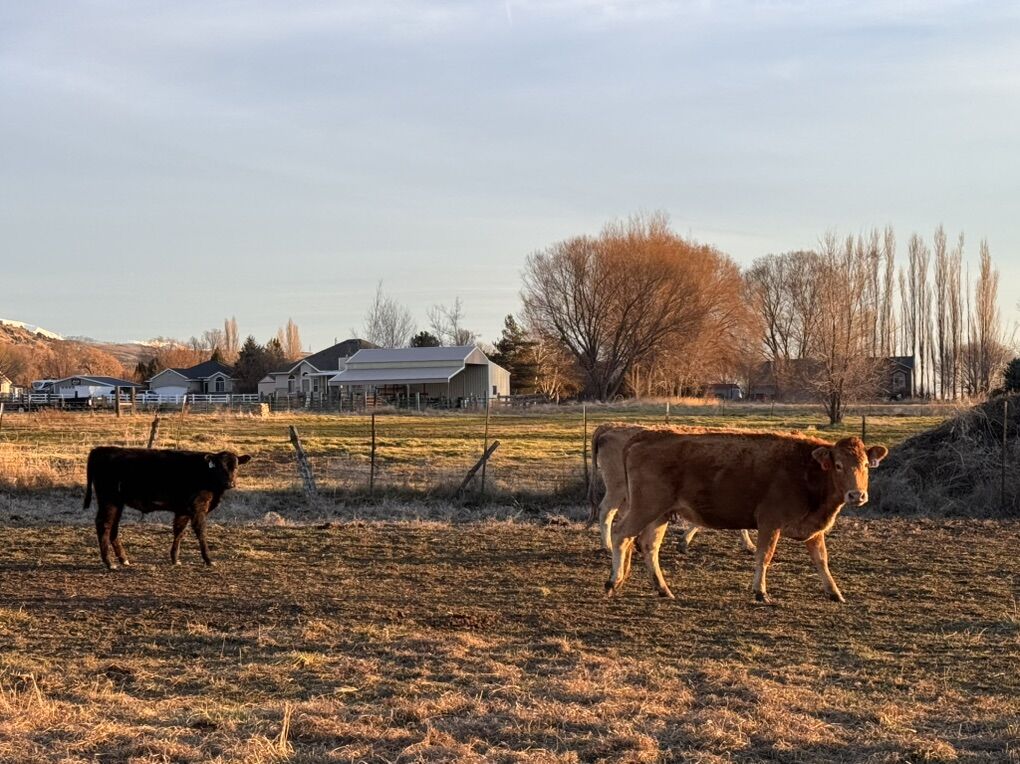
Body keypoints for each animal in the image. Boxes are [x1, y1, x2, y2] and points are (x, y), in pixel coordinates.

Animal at [84, 446, 252, 569]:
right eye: (219, 467)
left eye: (236, 467)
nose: (230, 483)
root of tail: (99, 449)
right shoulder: (198, 508)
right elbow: (201, 532)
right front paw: (209, 560)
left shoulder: (183, 510)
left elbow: (179, 531)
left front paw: (175, 559)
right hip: (108, 501)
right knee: (104, 525)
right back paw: (109, 563)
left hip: (117, 503)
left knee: (113, 526)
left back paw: (123, 559)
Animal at [605, 430, 887, 603]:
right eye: (838, 465)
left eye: (865, 465)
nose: (857, 495)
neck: (806, 470)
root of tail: (645, 436)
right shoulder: (770, 522)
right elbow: (764, 556)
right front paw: (760, 592)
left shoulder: (813, 529)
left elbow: (821, 560)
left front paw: (834, 592)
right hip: (645, 508)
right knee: (621, 535)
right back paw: (612, 582)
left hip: (661, 514)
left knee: (649, 545)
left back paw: (662, 589)